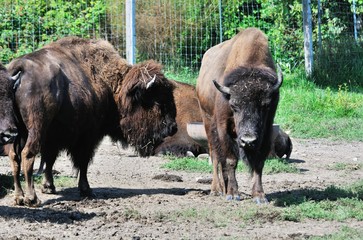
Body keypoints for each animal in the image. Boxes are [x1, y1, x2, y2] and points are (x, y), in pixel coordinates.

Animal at [0, 37, 178, 206]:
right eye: (158, 101)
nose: (173, 127)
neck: (112, 86)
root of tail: (19, 69)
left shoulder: (53, 138)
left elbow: (50, 160)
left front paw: (49, 187)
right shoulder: (88, 136)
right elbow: (83, 162)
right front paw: (87, 190)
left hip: (17, 131)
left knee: (14, 157)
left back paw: (19, 197)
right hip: (34, 129)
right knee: (27, 155)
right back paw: (32, 199)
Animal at [196, 28, 284, 204]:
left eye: (265, 105)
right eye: (234, 105)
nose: (248, 140)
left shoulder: (266, 129)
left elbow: (259, 162)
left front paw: (259, 196)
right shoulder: (223, 128)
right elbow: (230, 160)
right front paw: (233, 194)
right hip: (207, 121)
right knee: (215, 155)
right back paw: (217, 190)